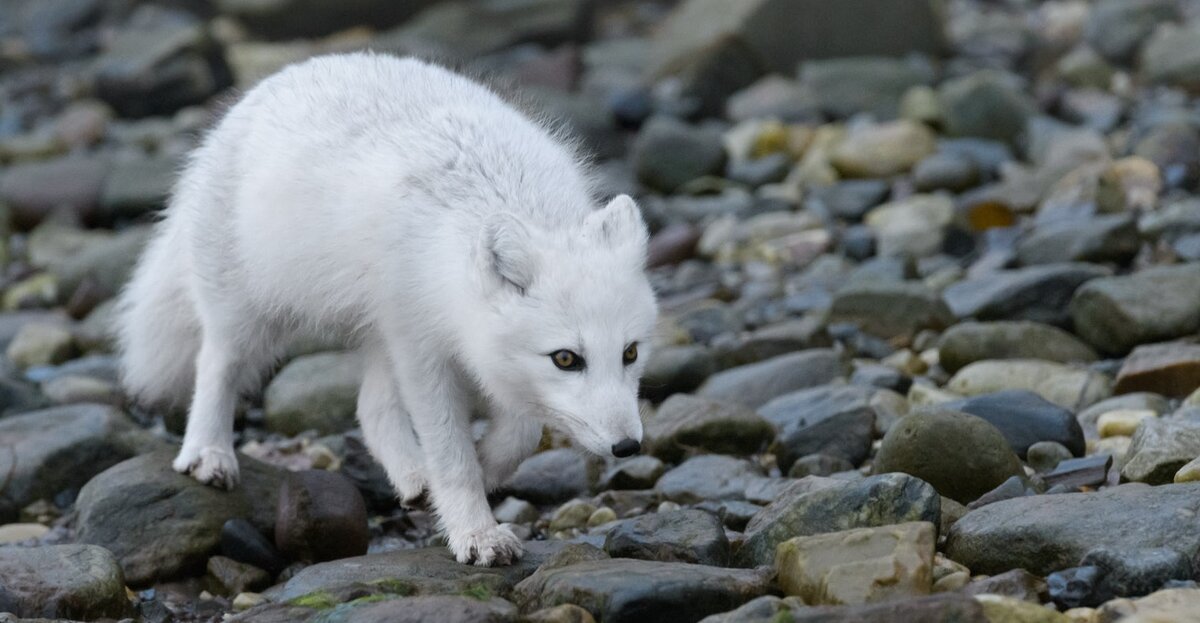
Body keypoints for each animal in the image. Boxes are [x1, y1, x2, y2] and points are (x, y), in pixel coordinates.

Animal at [117, 56, 662, 568]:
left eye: (631, 354)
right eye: (567, 359)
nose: (628, 447)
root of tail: (260, 92)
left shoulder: (469, 353)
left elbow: (522, 433)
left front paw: (485, 470)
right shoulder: (424, 351)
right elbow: (452, 456)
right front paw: (476, 534)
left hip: (381, 333)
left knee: (369, 408)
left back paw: (415, 479)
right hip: (249, 314)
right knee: (216, 365)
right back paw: (208, 453)